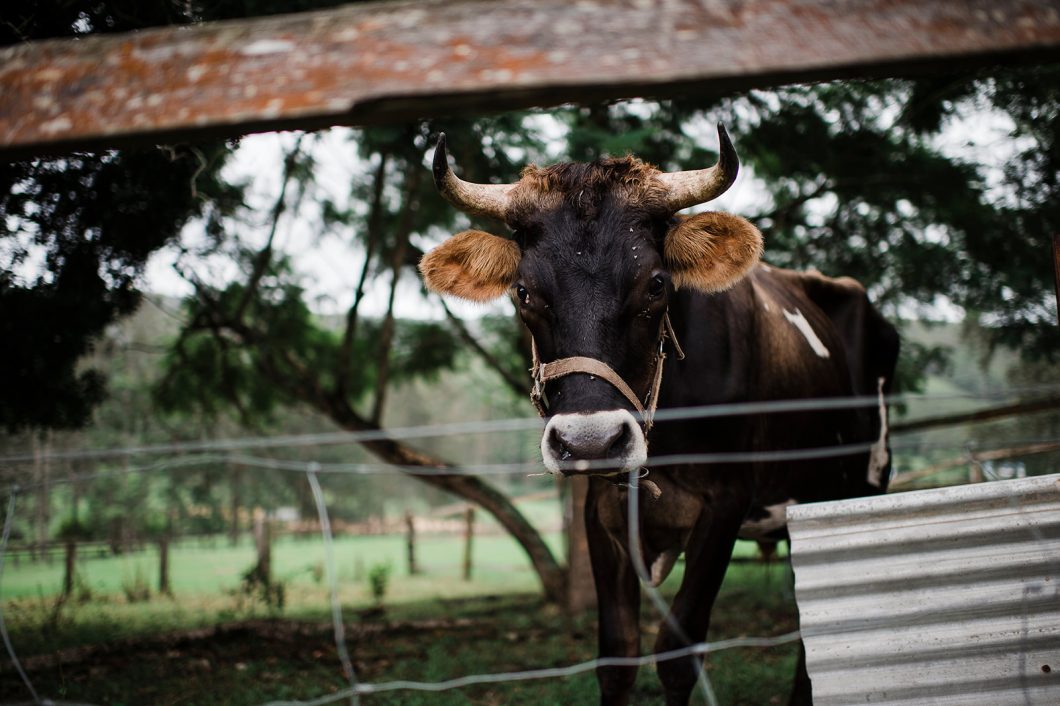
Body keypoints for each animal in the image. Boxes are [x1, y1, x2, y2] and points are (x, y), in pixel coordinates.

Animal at [417, 126, 898, 703]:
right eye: (524, 292)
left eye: (656, 284)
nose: (591, 442)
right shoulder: (602, 513)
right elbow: (617, 654)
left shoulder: (725, 504)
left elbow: (677, 654)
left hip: (858, 490)